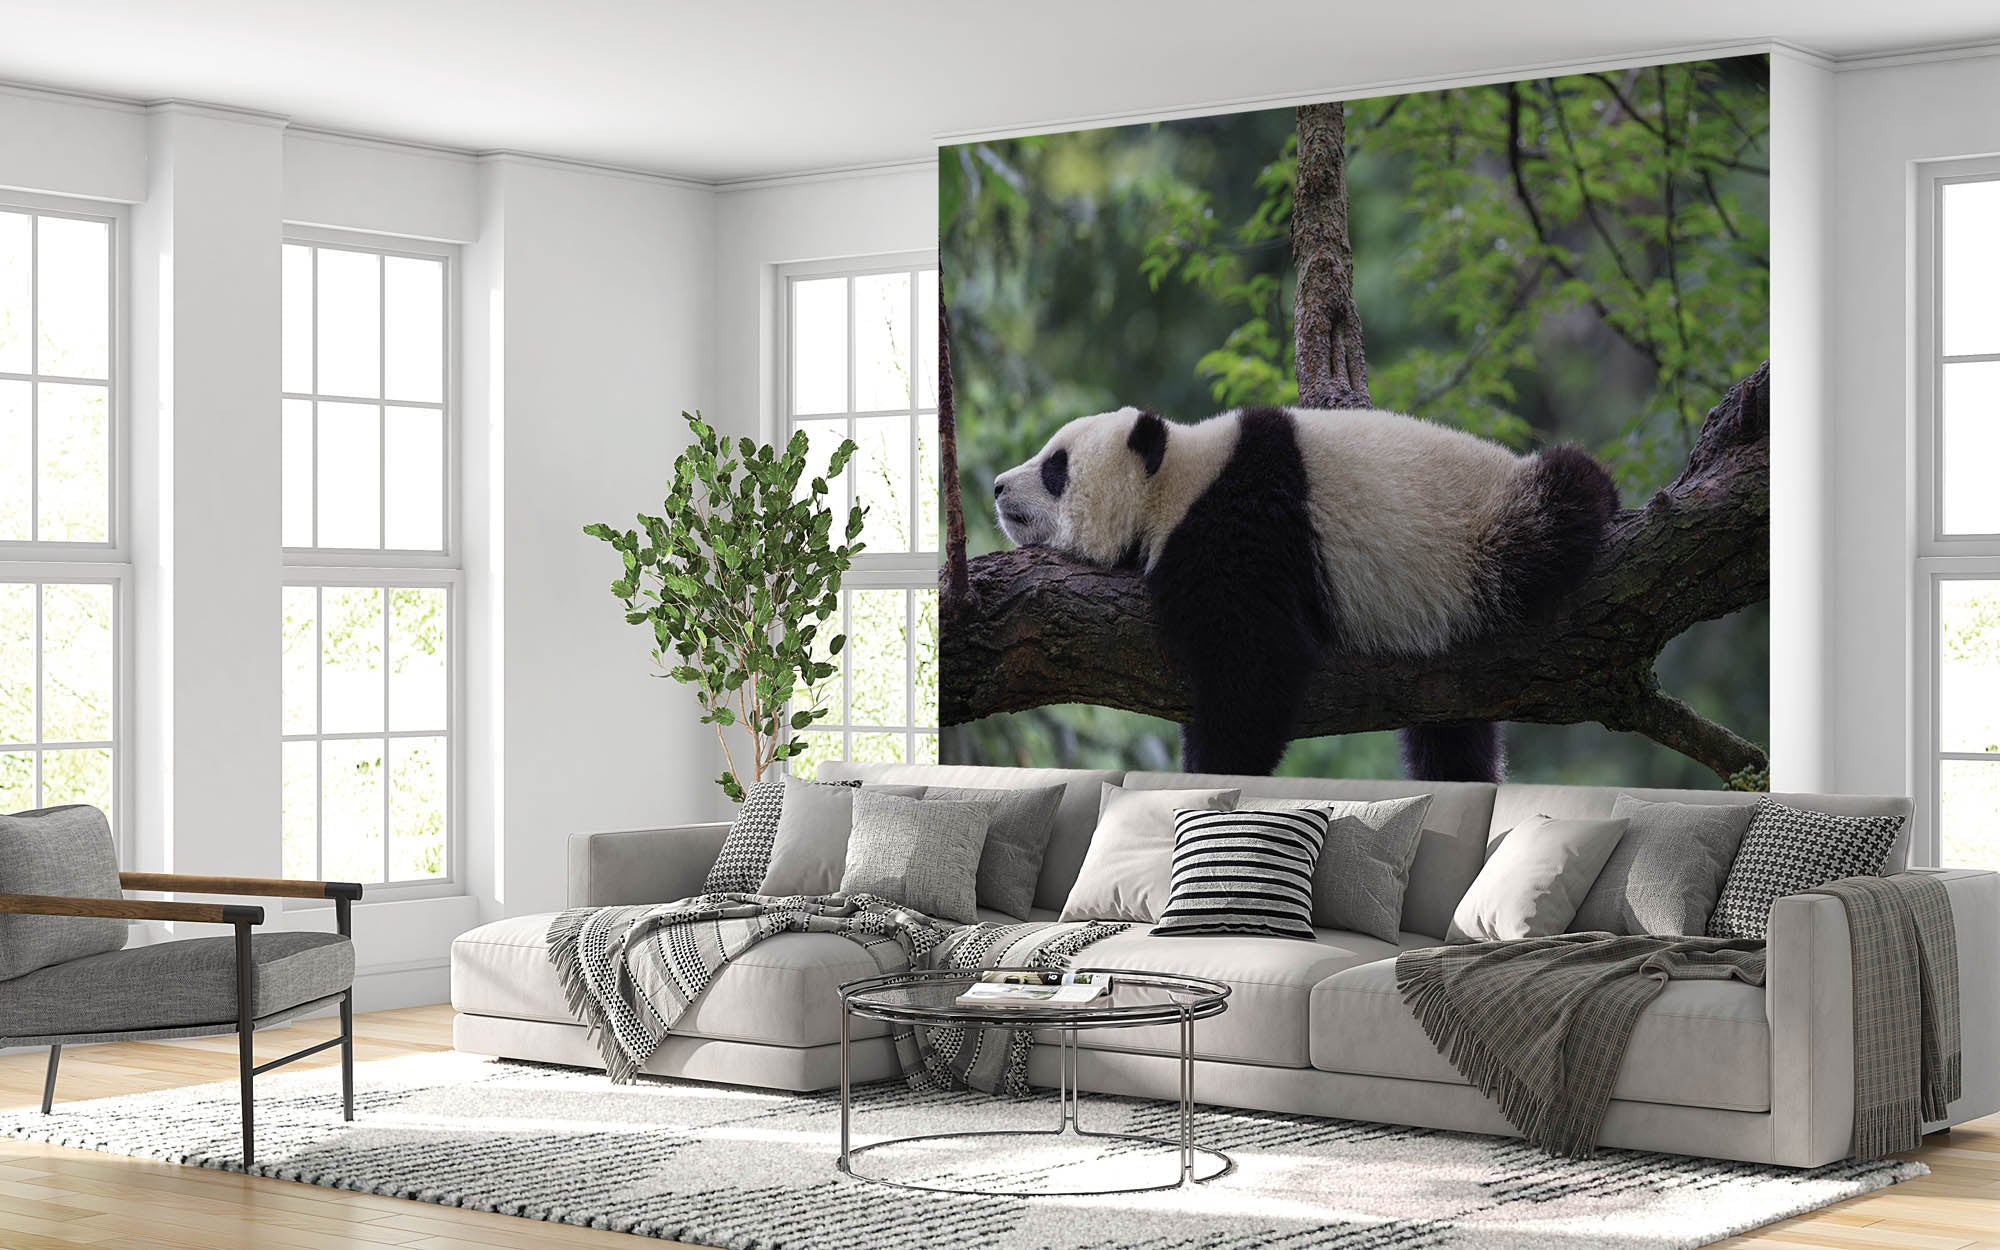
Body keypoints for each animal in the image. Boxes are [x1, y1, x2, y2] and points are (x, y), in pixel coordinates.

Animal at [991, 404, 1619, 782]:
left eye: (1055, 467)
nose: (996, 486)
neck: (1177, 479)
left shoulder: (1240, 526)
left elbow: (1257, 662)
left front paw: (1217, 770)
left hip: (1487, 529)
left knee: (1557, 504)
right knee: (1451, 738)